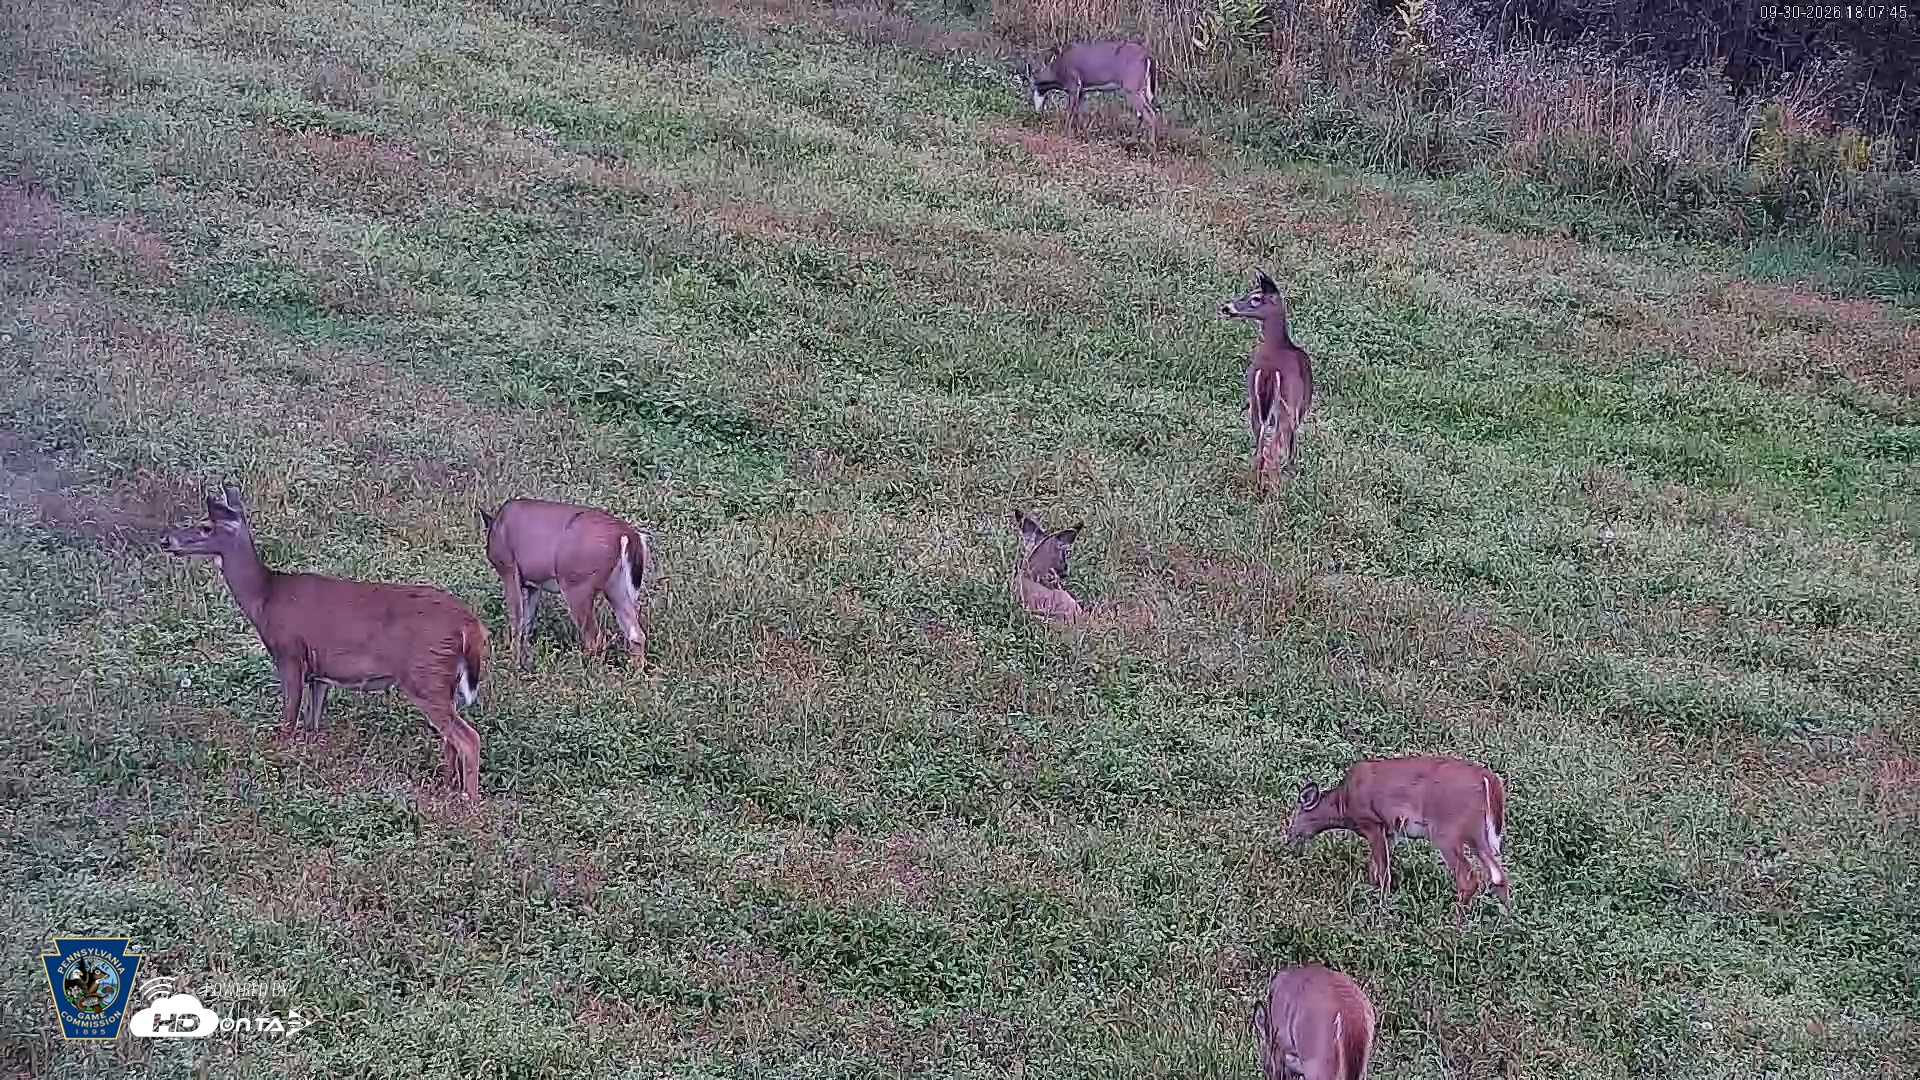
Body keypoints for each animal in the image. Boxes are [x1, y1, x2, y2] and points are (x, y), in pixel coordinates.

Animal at [160, 485, 488, 798]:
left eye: (206, 526)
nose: (165, 540)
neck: (265, 598)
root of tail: (469, 624)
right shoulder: (320, 670)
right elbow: (313, 723)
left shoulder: (290, 653)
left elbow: (288, 719)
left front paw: (279, 757)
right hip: (443, 680)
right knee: (451, 738)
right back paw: (448, 785)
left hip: (424, 674)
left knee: (468, 738)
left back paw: (468, 799)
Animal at [477, 497, 654, 671]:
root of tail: (626, 535)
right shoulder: (534, 584)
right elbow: (527, 622)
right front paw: (526, 659)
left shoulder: (508, 569)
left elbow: (516, 620)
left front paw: (513, 663)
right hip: (616, 586)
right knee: (636, 635)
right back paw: (635, 672)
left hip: (577, 583)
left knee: (594, 638)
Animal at [1026, 40, 1161, 151]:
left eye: (1033, 90)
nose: (1037, 111)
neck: (1058, 71)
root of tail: (1148, 56)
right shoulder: (1082, 90)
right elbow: (1079, 112)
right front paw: (1083, 134)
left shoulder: (1073, 84)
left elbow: (1070, 111)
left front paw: (1065, 133)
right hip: (1143, 88)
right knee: (1142, 113)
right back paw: (1133, 142)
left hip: (1131, 87)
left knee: (1149, 113)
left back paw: (1151, 146)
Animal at [1219, 270, 1313, 493]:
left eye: (1255, 297)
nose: (1227, 308)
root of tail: (1269, 371)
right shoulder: (1300, 408)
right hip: (1286, 406)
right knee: (1272, 448)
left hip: (1255, 405)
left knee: (1260, 445)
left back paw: (1258, 483)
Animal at [1285, 755, 1513, 922]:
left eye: (1293, 818)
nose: (1288, 840)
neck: (1343, 803)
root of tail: (1487, 778)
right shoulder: (1390, 832)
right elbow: (1375, 868)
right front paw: (1370, 893)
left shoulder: (1372, 823)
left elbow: (1383, 872)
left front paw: (1382, 905)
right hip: (1478, 834)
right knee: (1499, 876)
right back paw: (1507, 922)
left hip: (1446, 831)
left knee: (1469, 879)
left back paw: (1451, 921)